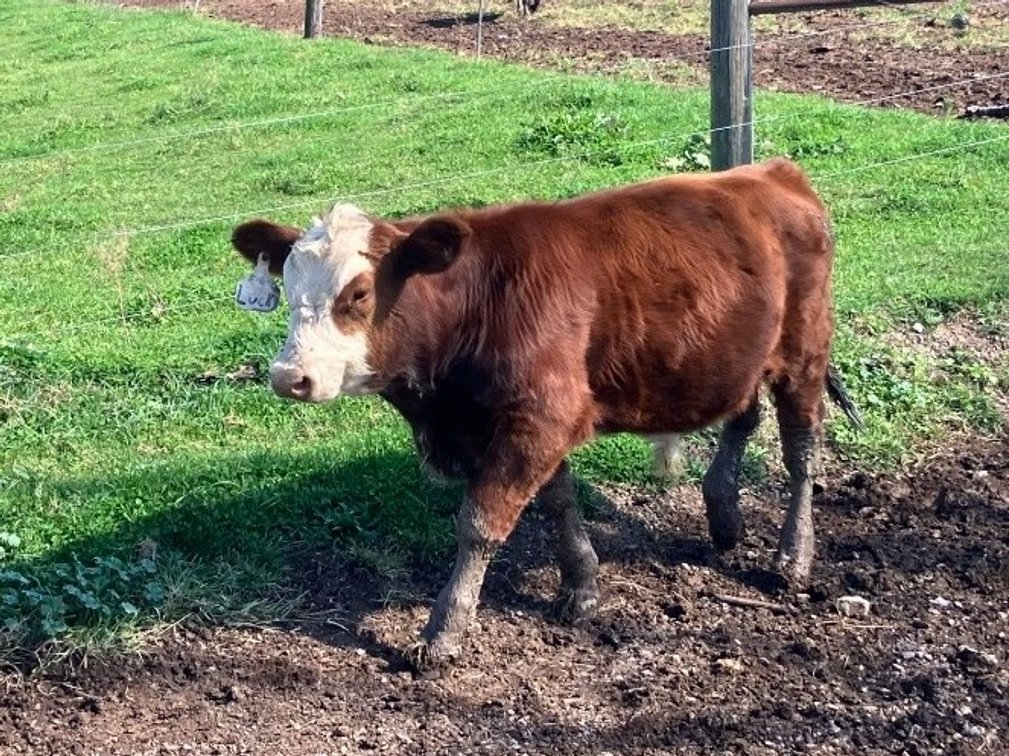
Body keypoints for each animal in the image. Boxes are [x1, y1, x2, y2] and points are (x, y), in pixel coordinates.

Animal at [231, 158, 862, 670]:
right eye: (288, 288)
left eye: (359, 294)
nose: (289, 376)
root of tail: (770, 172)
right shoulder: (532, 422)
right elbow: (558, 500)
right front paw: (582, 585)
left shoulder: (540, 416)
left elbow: (480, 524)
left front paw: (443, 633)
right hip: (737, 356)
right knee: (743, 416)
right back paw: (724, 515)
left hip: (805, 349)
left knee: (801, 450)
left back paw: (793, 557)